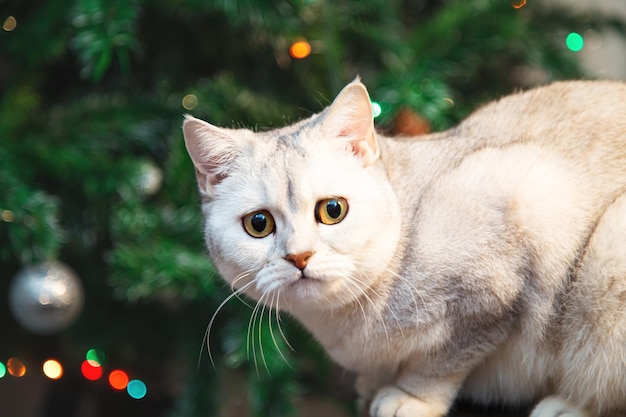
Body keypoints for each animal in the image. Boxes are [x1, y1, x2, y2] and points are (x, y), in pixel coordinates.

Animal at [180, 79, 624, 416]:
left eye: (332, 210)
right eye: (259, 224)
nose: (299, 256)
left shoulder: (493, 288)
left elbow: (442, 363)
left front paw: (409, 398)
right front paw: (374, 383)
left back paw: (567, 406)